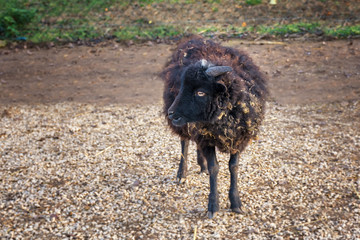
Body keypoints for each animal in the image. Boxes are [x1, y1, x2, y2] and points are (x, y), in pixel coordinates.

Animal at [160, 35, 268, 218]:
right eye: (182, 87)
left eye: (200, 92)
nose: (171, 113)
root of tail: (195, 39)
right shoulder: (207, 140)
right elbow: (215, 168)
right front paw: (213, 205)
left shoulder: (238, 138)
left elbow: (233, 167)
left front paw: (236, 203)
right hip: (184, 126)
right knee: (184, 142)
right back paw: (182, 174)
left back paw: (201, 165)